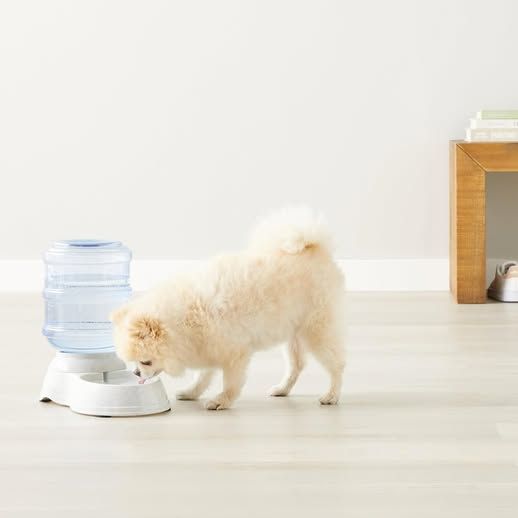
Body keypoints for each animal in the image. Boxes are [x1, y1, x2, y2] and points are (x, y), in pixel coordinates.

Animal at [111, 208, 345, 410]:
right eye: (135, 363)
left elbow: (231, 382)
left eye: (145, 361)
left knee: (337, 364)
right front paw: (191, 392)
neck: (186, 318)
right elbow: (202, 376)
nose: (136, 373)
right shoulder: (207, 346)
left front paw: (221, 401)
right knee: (296, 366)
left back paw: (331, 395)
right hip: (292, 333)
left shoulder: (235, 352)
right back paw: (282, 389)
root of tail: (315, 247)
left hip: (316, 329)